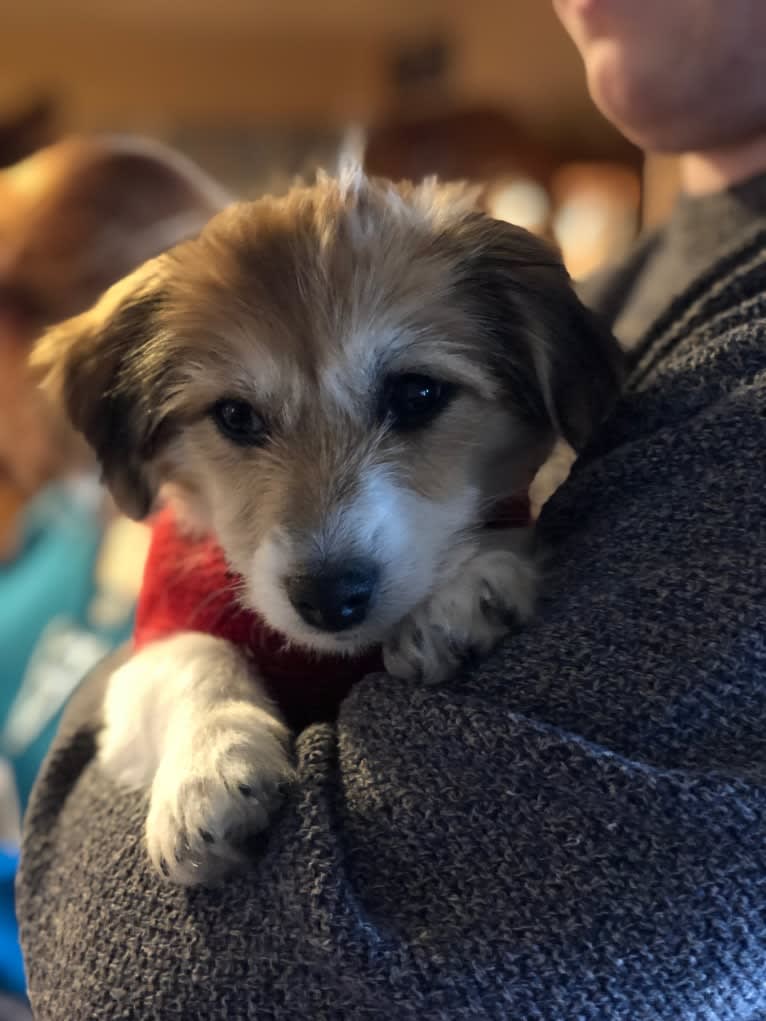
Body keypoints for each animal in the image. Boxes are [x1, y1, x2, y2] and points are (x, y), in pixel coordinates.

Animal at [32, 169, 625, 886]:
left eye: (418, 394)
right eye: (235, 416)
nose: (329, 599)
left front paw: (462, 588)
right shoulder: (148, 649)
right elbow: (194, 656)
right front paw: (209, 765)